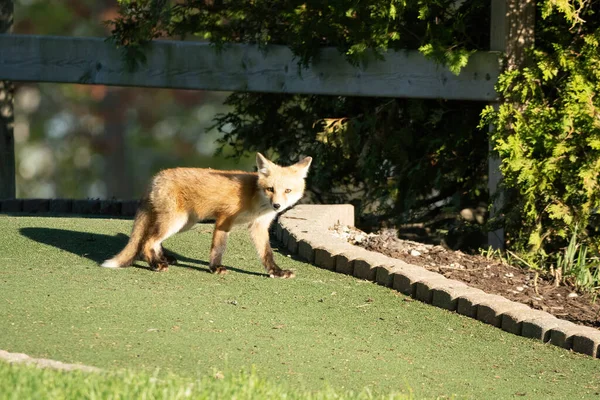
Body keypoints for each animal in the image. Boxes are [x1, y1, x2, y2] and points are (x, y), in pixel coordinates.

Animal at [101, 153, 312, 278]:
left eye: (287, 190)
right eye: (270, 189)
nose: (277, 205)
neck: (254, 199)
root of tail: (156, 177)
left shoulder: (258, 226)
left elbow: (267, 253)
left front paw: (276, 271)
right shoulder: (224, 219)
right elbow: (218, 248)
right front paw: (215, 267)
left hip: (184, 223)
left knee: (154, 240)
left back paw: (163, 258)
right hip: (175, 221)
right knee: (147, 241)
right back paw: (155, 264)